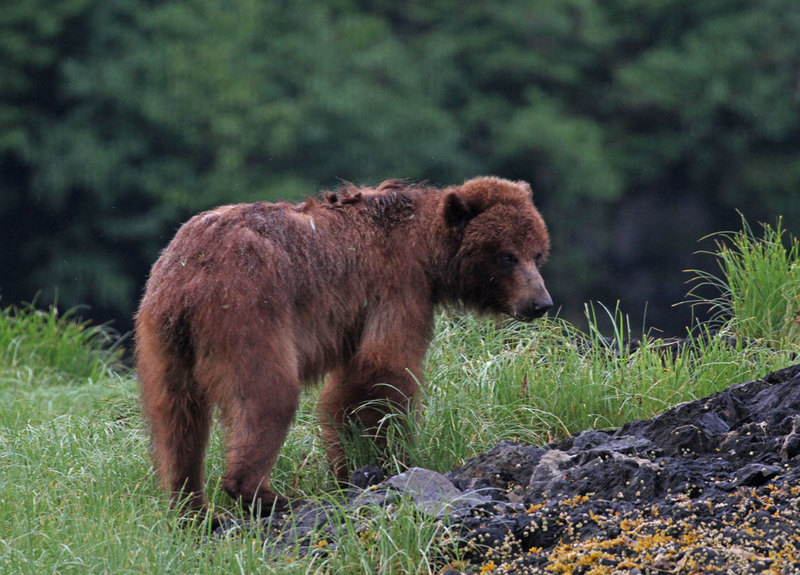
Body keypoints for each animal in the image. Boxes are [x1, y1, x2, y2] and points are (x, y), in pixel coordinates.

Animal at [135, 176, 552, 517]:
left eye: (538, 252)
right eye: (507, 255)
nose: (540, 303)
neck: (428, 253)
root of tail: (189, 274)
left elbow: (352, 386)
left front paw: (350, 460)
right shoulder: (397, 287)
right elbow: (384, 369)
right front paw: (390, 457)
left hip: (163, 337)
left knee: (176, 418)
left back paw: (189, 505)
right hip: (248, 311)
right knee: (268, 395)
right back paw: (263, 494)